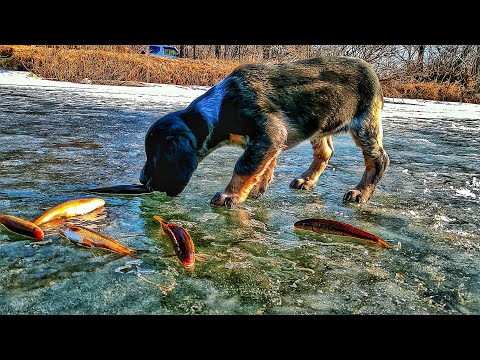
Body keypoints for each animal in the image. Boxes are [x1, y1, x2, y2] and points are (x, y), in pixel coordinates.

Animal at [141, 57, 388, 207]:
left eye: (154, 156)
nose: (142, 180)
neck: (221, 107)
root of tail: (373, 72)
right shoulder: (270, 141)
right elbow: (264, 166)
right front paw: (255, 190)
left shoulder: (270, 133)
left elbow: (245, 165)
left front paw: (230, 195)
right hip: (320, 125)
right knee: (325, 152)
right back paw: (306, 180)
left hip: (364, 125)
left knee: (378, 160)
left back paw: (361, 192)